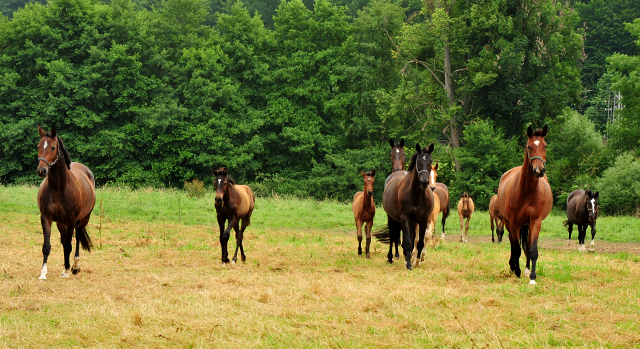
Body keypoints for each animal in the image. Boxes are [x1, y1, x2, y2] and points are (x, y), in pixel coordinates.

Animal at [36, 125, 95, 280]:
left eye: (52, 147)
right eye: (38, 146)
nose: (41, 170)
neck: (59, 188)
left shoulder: (71, 220)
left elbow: (69, 245)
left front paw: (68, 271)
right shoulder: (46, 217)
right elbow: (47, 246)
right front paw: (43, 273)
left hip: (83, 219)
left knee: (77, 238)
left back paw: (74, 267)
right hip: (60, 223)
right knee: (64, 241)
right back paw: (65, 267)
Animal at [378, 141, 438, 270]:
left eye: (430, 161)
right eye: (418, 161)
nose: (424, 182)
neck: (417, 195)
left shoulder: (423, 219)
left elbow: (419, 242)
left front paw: (416, 261)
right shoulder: (404, 217)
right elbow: (407, 242)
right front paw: (409, 264)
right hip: (392, 217)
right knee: (393, 235)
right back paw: (391, 257)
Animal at [498, 126, 552, 284]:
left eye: (545, 146)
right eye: (529, 147)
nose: (539, 171)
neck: (527, 191)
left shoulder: (535, 221)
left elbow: (532, 249)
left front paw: (532, 277)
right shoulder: (514, 223)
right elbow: (516, 248)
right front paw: (517, 271)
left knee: (526, 245)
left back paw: (527, 270)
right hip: (508, 222)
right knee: (512, 243)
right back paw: (513, 266)